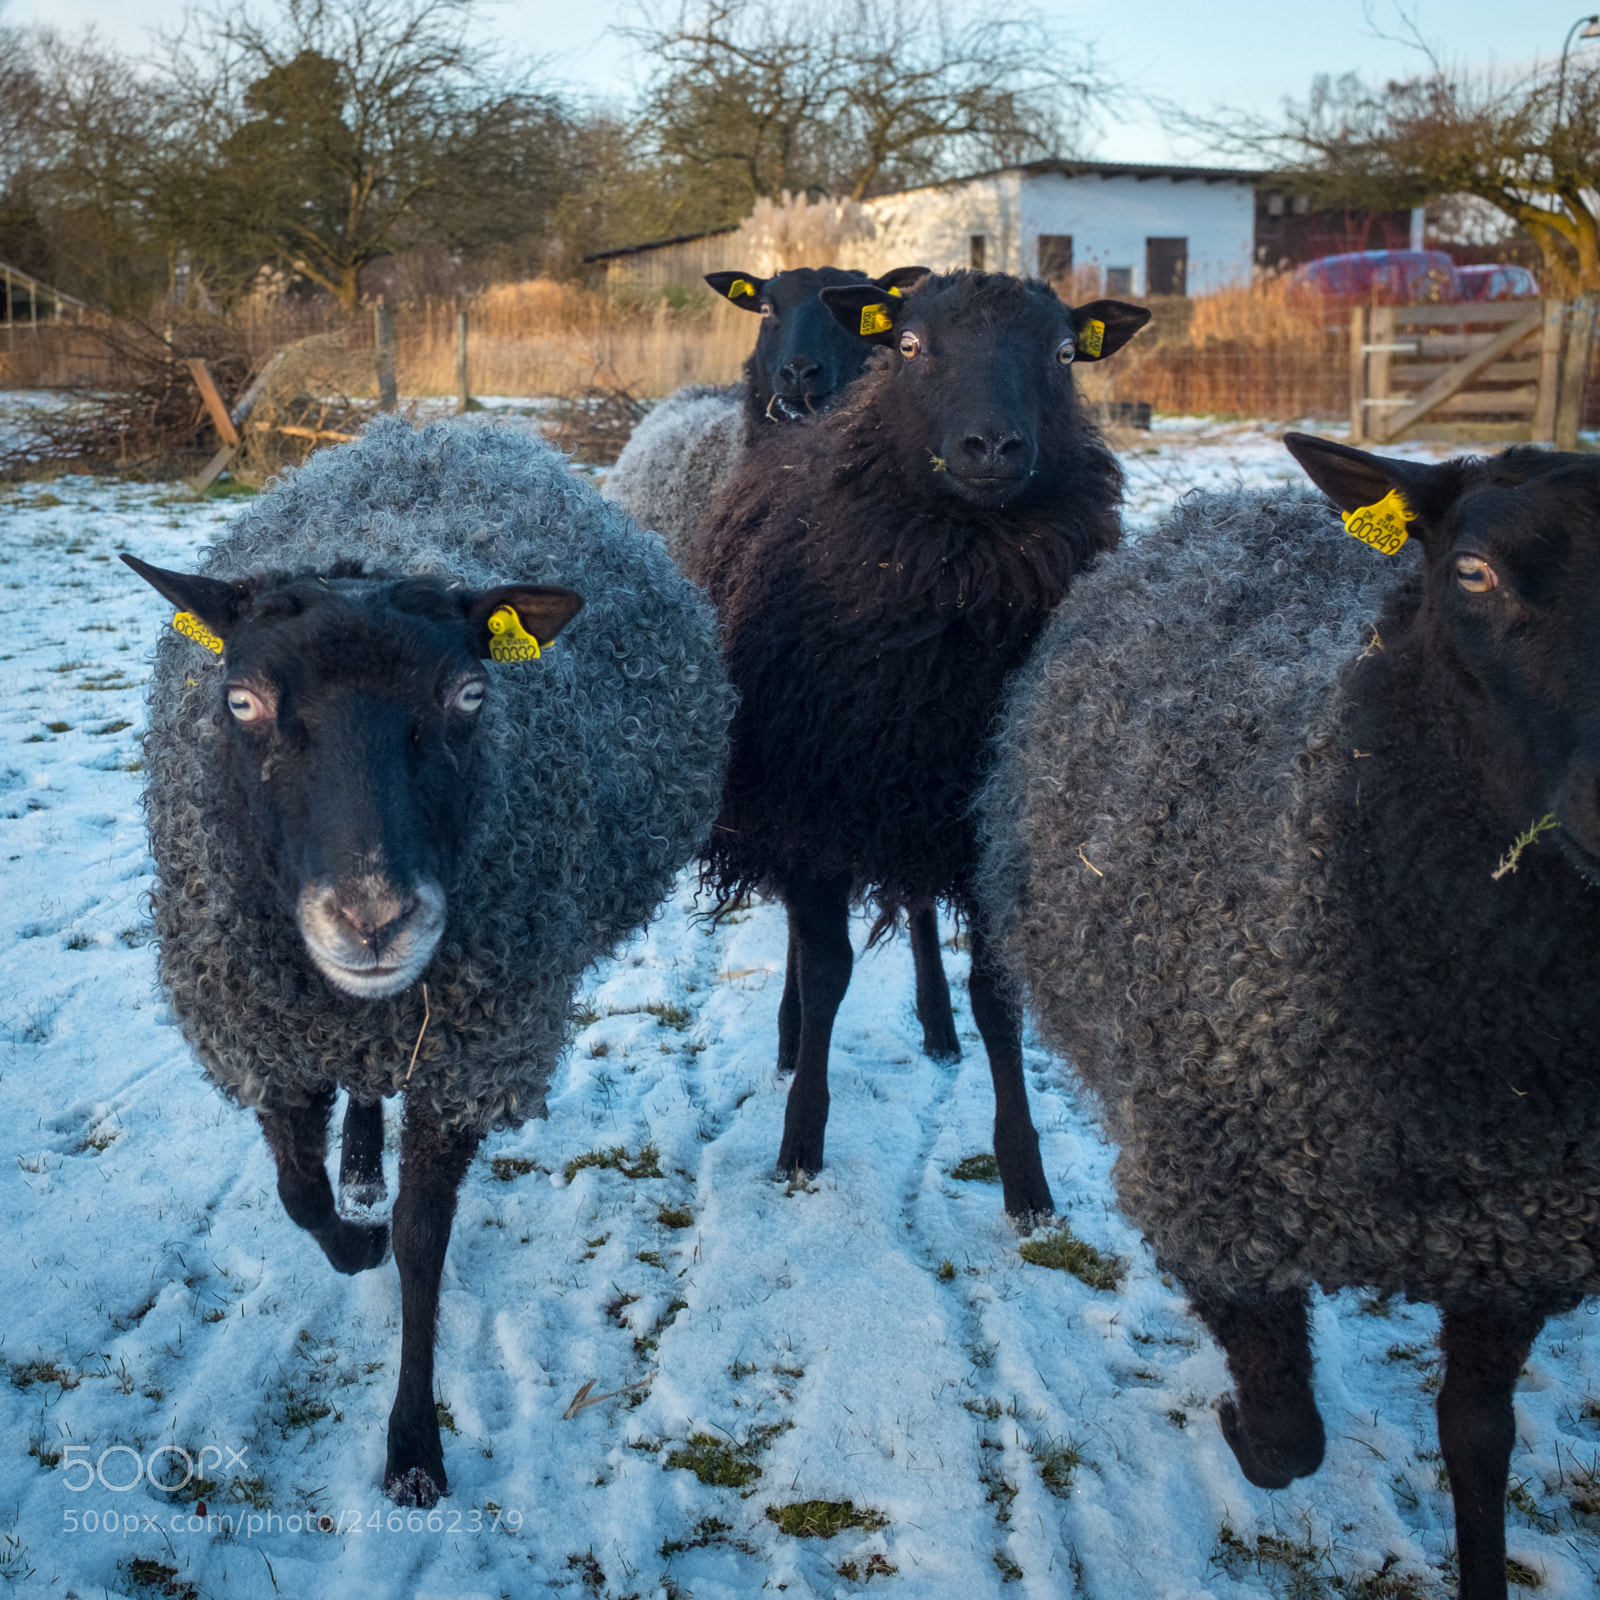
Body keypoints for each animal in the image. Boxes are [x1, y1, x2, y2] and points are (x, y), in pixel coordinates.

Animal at [121, 415, 731, 1507]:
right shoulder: (268, 1040)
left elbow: (422, 1241)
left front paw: (412, 1445)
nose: (373, 918)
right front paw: (352, 1236)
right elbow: (301, 1197)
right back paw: (362, 1164)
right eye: (241, 699)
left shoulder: (463, 1060)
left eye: (471, 693)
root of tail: (431, 427)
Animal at [695, 269, 1150, 1222]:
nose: (992, 446)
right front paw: (800, 1144)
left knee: (919, 916)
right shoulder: (815, 802)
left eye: (1065, 353)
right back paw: (790, 1037)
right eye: (908, 346)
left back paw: (937, 1028)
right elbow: (827, 969)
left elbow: (998, 997)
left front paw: (1026, 1181)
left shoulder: (985, 823)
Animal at [976, 435, 1600, 1600]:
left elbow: (1477, 1440)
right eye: (1473, 572)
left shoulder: (1514, 1247)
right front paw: (1232, 1417)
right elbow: (1282, 1442)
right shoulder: (1216, 1207)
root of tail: (1237, 498)